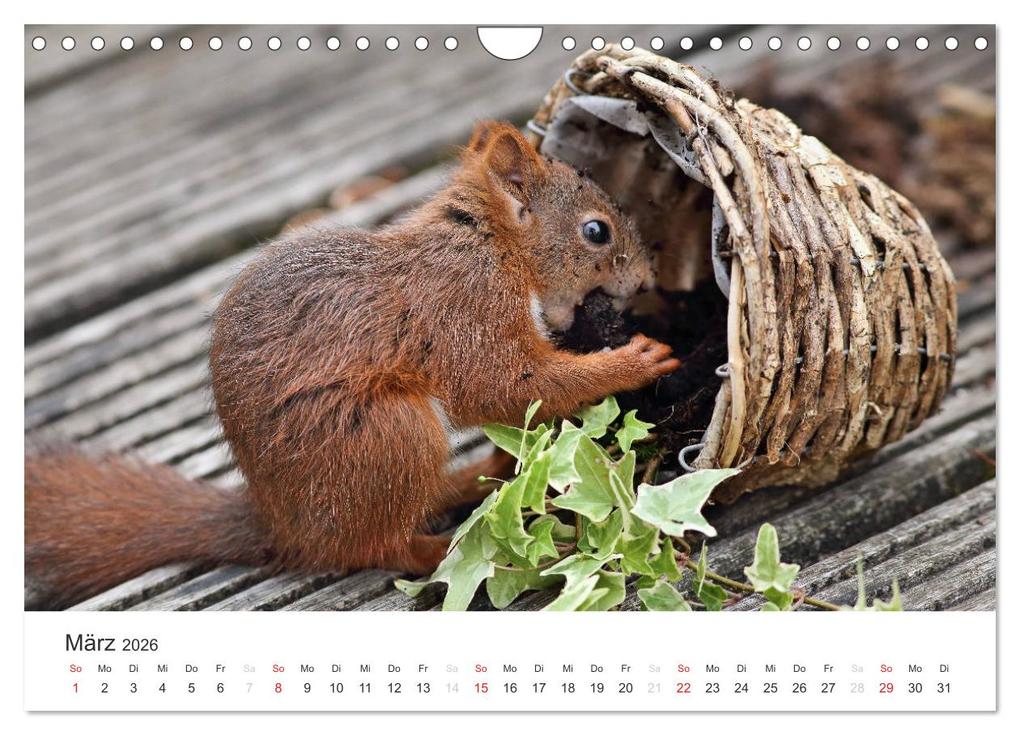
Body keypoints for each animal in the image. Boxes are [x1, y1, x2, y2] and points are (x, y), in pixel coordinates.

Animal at [25, 121, 680, 608]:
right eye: (596, 231)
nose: (645, 281)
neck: (490, 244)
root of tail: (286, 528)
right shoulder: (466, 308)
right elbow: (497, 385)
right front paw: (633, 362)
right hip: (390, 434)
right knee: (381, 547)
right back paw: (445, 549)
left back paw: (477, 479)